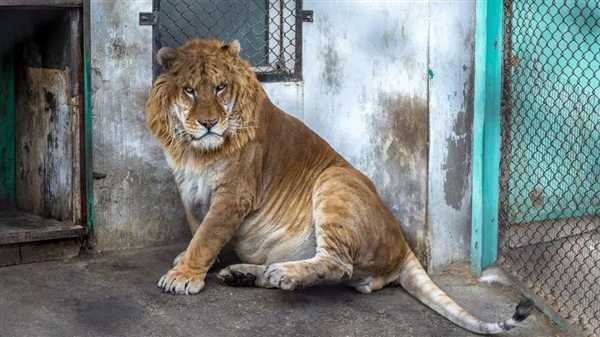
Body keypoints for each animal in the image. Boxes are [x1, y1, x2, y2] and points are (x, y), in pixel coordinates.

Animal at [144, 38, 528, 332]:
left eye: (219, 88)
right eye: (189, 91)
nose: (208, 123)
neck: (194, 152)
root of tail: (404, 244)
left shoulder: (234, 194)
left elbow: (207, 235)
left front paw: (184, 274)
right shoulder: (188, 188)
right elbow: (198, 228)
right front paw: (190, 262)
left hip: (335, 180)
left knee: (338, 264)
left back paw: (282, 275)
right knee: (343, 273)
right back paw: (247, 274)